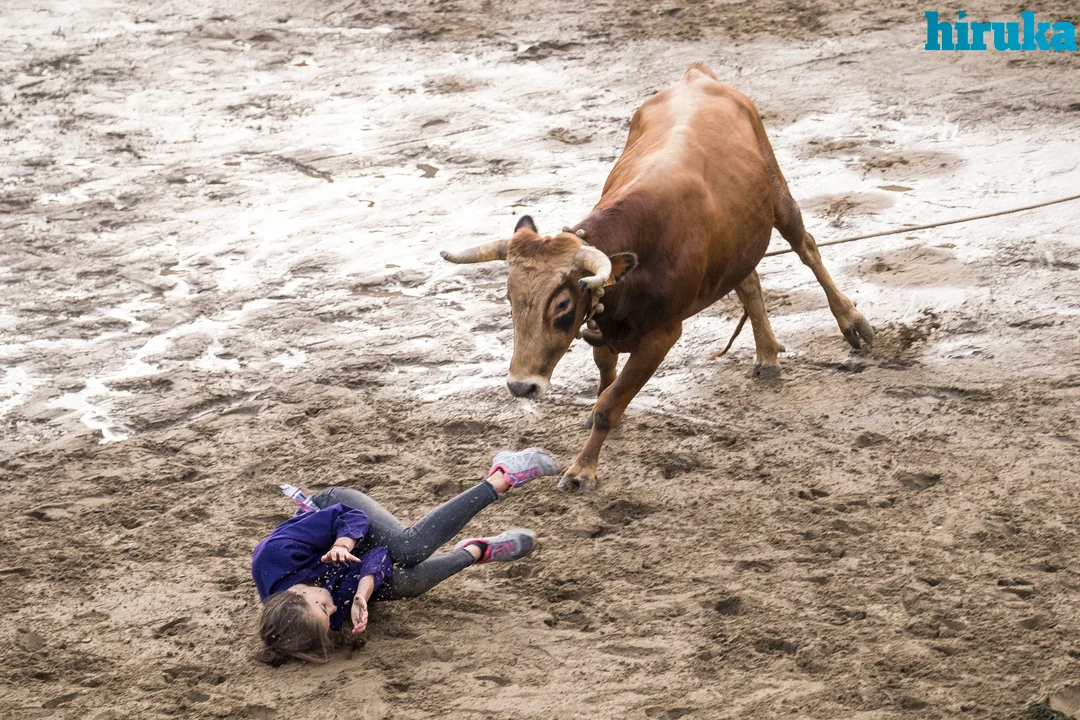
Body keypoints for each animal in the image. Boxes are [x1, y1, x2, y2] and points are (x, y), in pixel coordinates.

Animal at [441, 62, 873, 492]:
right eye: (510, 297)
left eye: (562, 304)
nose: (521, 386)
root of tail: (697, 75)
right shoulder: (602, 326)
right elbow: (606, 383)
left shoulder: (663, 336)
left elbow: (610, 403)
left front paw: (583, 470)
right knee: (749, 280)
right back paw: (767, 355)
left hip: (779, 195)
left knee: (807, 248)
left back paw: (852, 322)